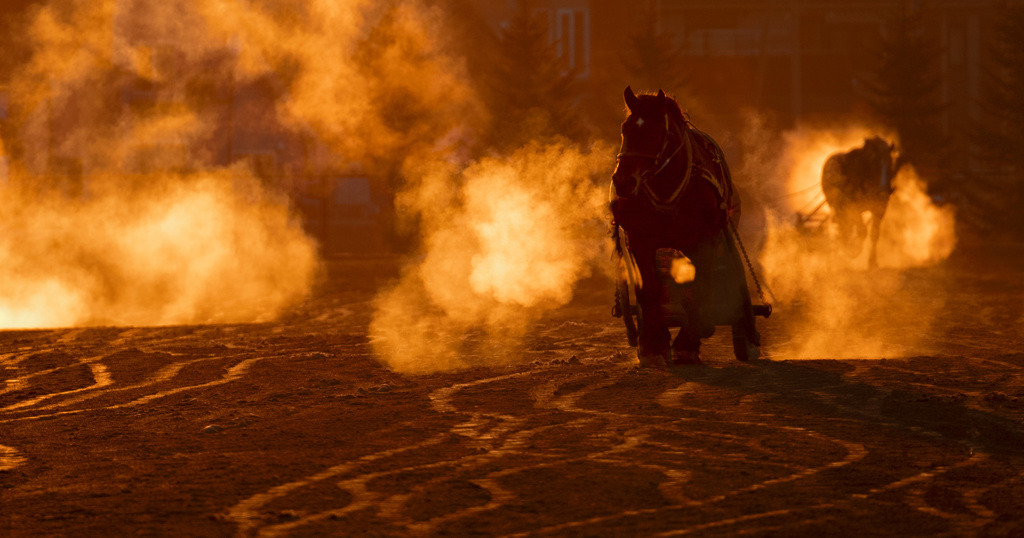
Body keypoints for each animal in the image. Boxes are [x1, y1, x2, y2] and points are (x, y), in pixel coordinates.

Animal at [606, 87, 737, 368]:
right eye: (624, 129)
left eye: (655, 133)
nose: (623, 181)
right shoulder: (639, 241)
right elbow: (649, 289)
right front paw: (651, 346)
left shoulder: (702, 242)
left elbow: (697, 287)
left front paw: (688, 344)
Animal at [819, 136, 901, 266]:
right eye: (875, 163)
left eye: (890, 163)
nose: (883, 192)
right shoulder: (853, 208)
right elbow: (862, 231)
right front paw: (854, 251)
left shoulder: (879, 209)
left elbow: (874, 233)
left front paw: (872, 262)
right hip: (839, 208)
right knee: (845, 228)